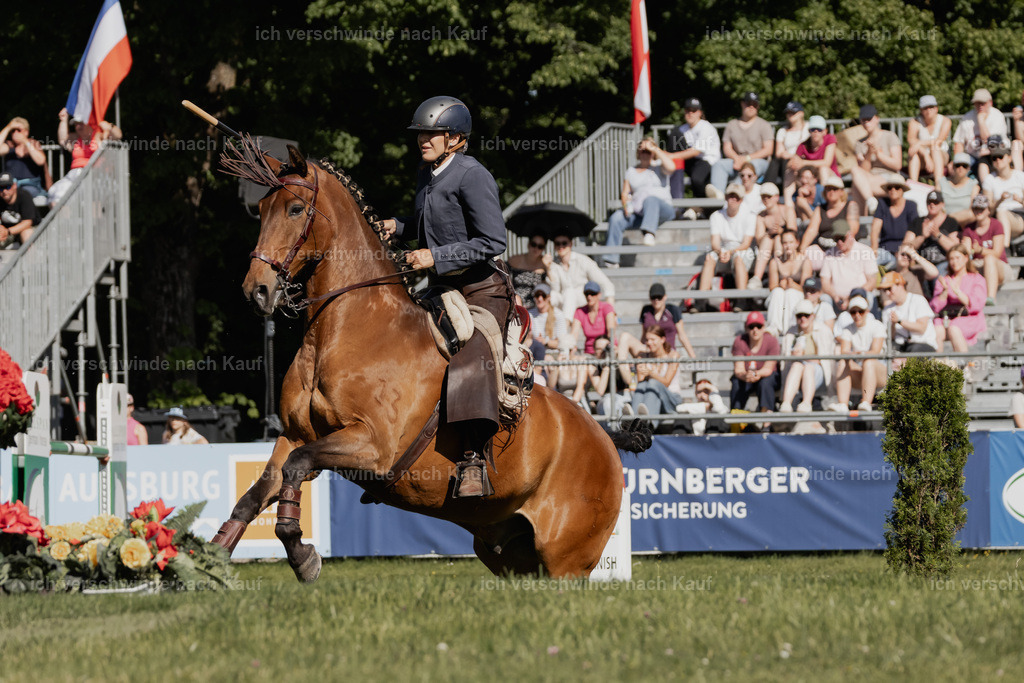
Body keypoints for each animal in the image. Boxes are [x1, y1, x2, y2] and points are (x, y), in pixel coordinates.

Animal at [211, 138, 650, 582]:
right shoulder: (295, 436)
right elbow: (257, 493)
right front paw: (210, 559)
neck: (344, 331)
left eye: (296, 209)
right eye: (262, 208)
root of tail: (604, 437)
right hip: (510, 555)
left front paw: (302, 553)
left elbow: (296, 468)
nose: (256, 290)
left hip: (567, 562)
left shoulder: (372, 446)